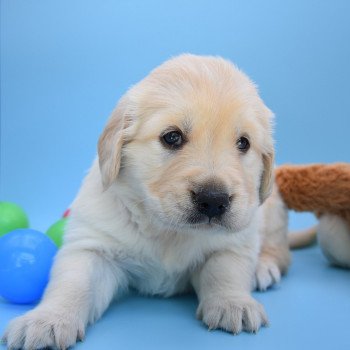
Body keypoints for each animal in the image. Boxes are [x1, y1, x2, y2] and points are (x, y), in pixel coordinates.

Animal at [2, 54, 290, 350]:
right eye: (172, 137)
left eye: (243, 143)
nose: (213, 200)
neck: (166, 230)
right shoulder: (94, 246)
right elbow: (73, 283)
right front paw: (47, 320)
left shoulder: (234, 243)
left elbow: (225, 270)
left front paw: (234, 303)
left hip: (271, 210)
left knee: (280, 250)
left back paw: (263, 268)